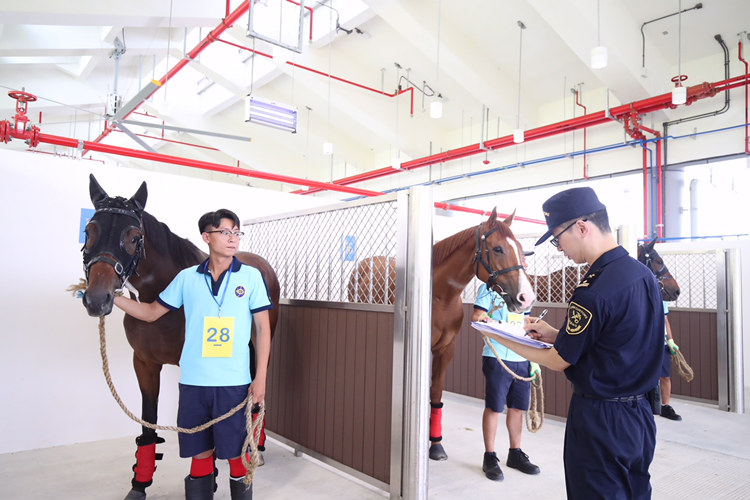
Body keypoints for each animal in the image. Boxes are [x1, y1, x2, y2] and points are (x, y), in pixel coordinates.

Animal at [347, 208, 536, 460]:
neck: (441, 296)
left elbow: (436, 393)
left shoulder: (447, 348)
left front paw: (435, 443)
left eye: (520, 248)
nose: (526, 297)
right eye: (498, 249)